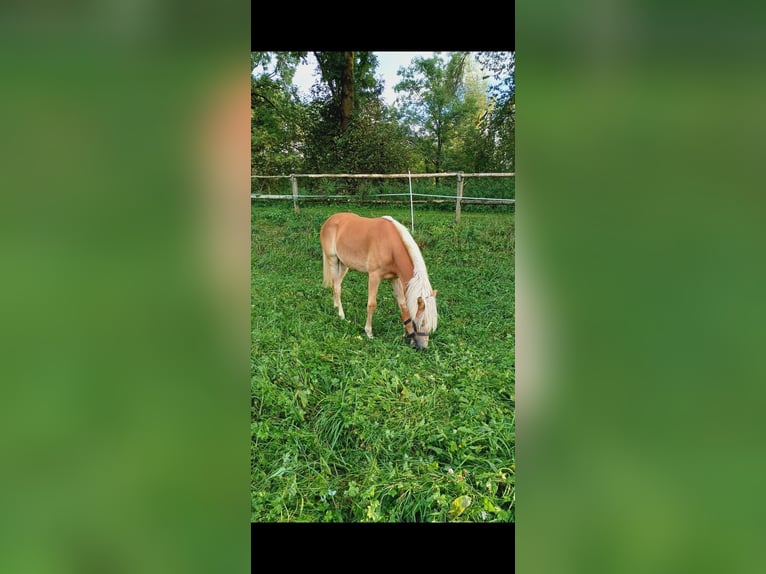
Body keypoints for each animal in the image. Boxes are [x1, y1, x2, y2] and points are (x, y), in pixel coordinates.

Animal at [318, 214, 438, 352]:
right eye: (422, 322)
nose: (423, 347)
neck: (391, 246)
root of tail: (330, 220)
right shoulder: (374, 276)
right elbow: (372, 304)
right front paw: (369, 332)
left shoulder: (394, 279)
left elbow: (402, 304)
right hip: (332, 260)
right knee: (337, 287)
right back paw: (341, 315)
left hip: (343, 264)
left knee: (335, 284)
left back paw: (336, 306)